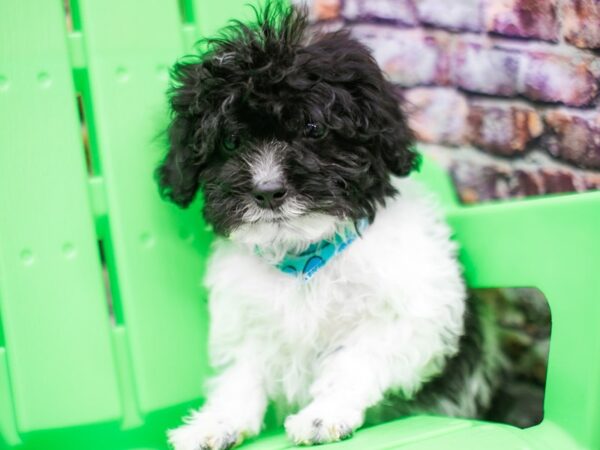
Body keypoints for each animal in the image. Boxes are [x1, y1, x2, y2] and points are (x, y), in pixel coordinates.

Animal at [159, 4, 502, 450]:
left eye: (313, 129)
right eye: (230, 142)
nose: (267, 191)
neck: (304, 253)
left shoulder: (413, 313)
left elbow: (355, 359)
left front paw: (323, 415)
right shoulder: (246, 321)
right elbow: (241, 374)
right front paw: (216, 422)